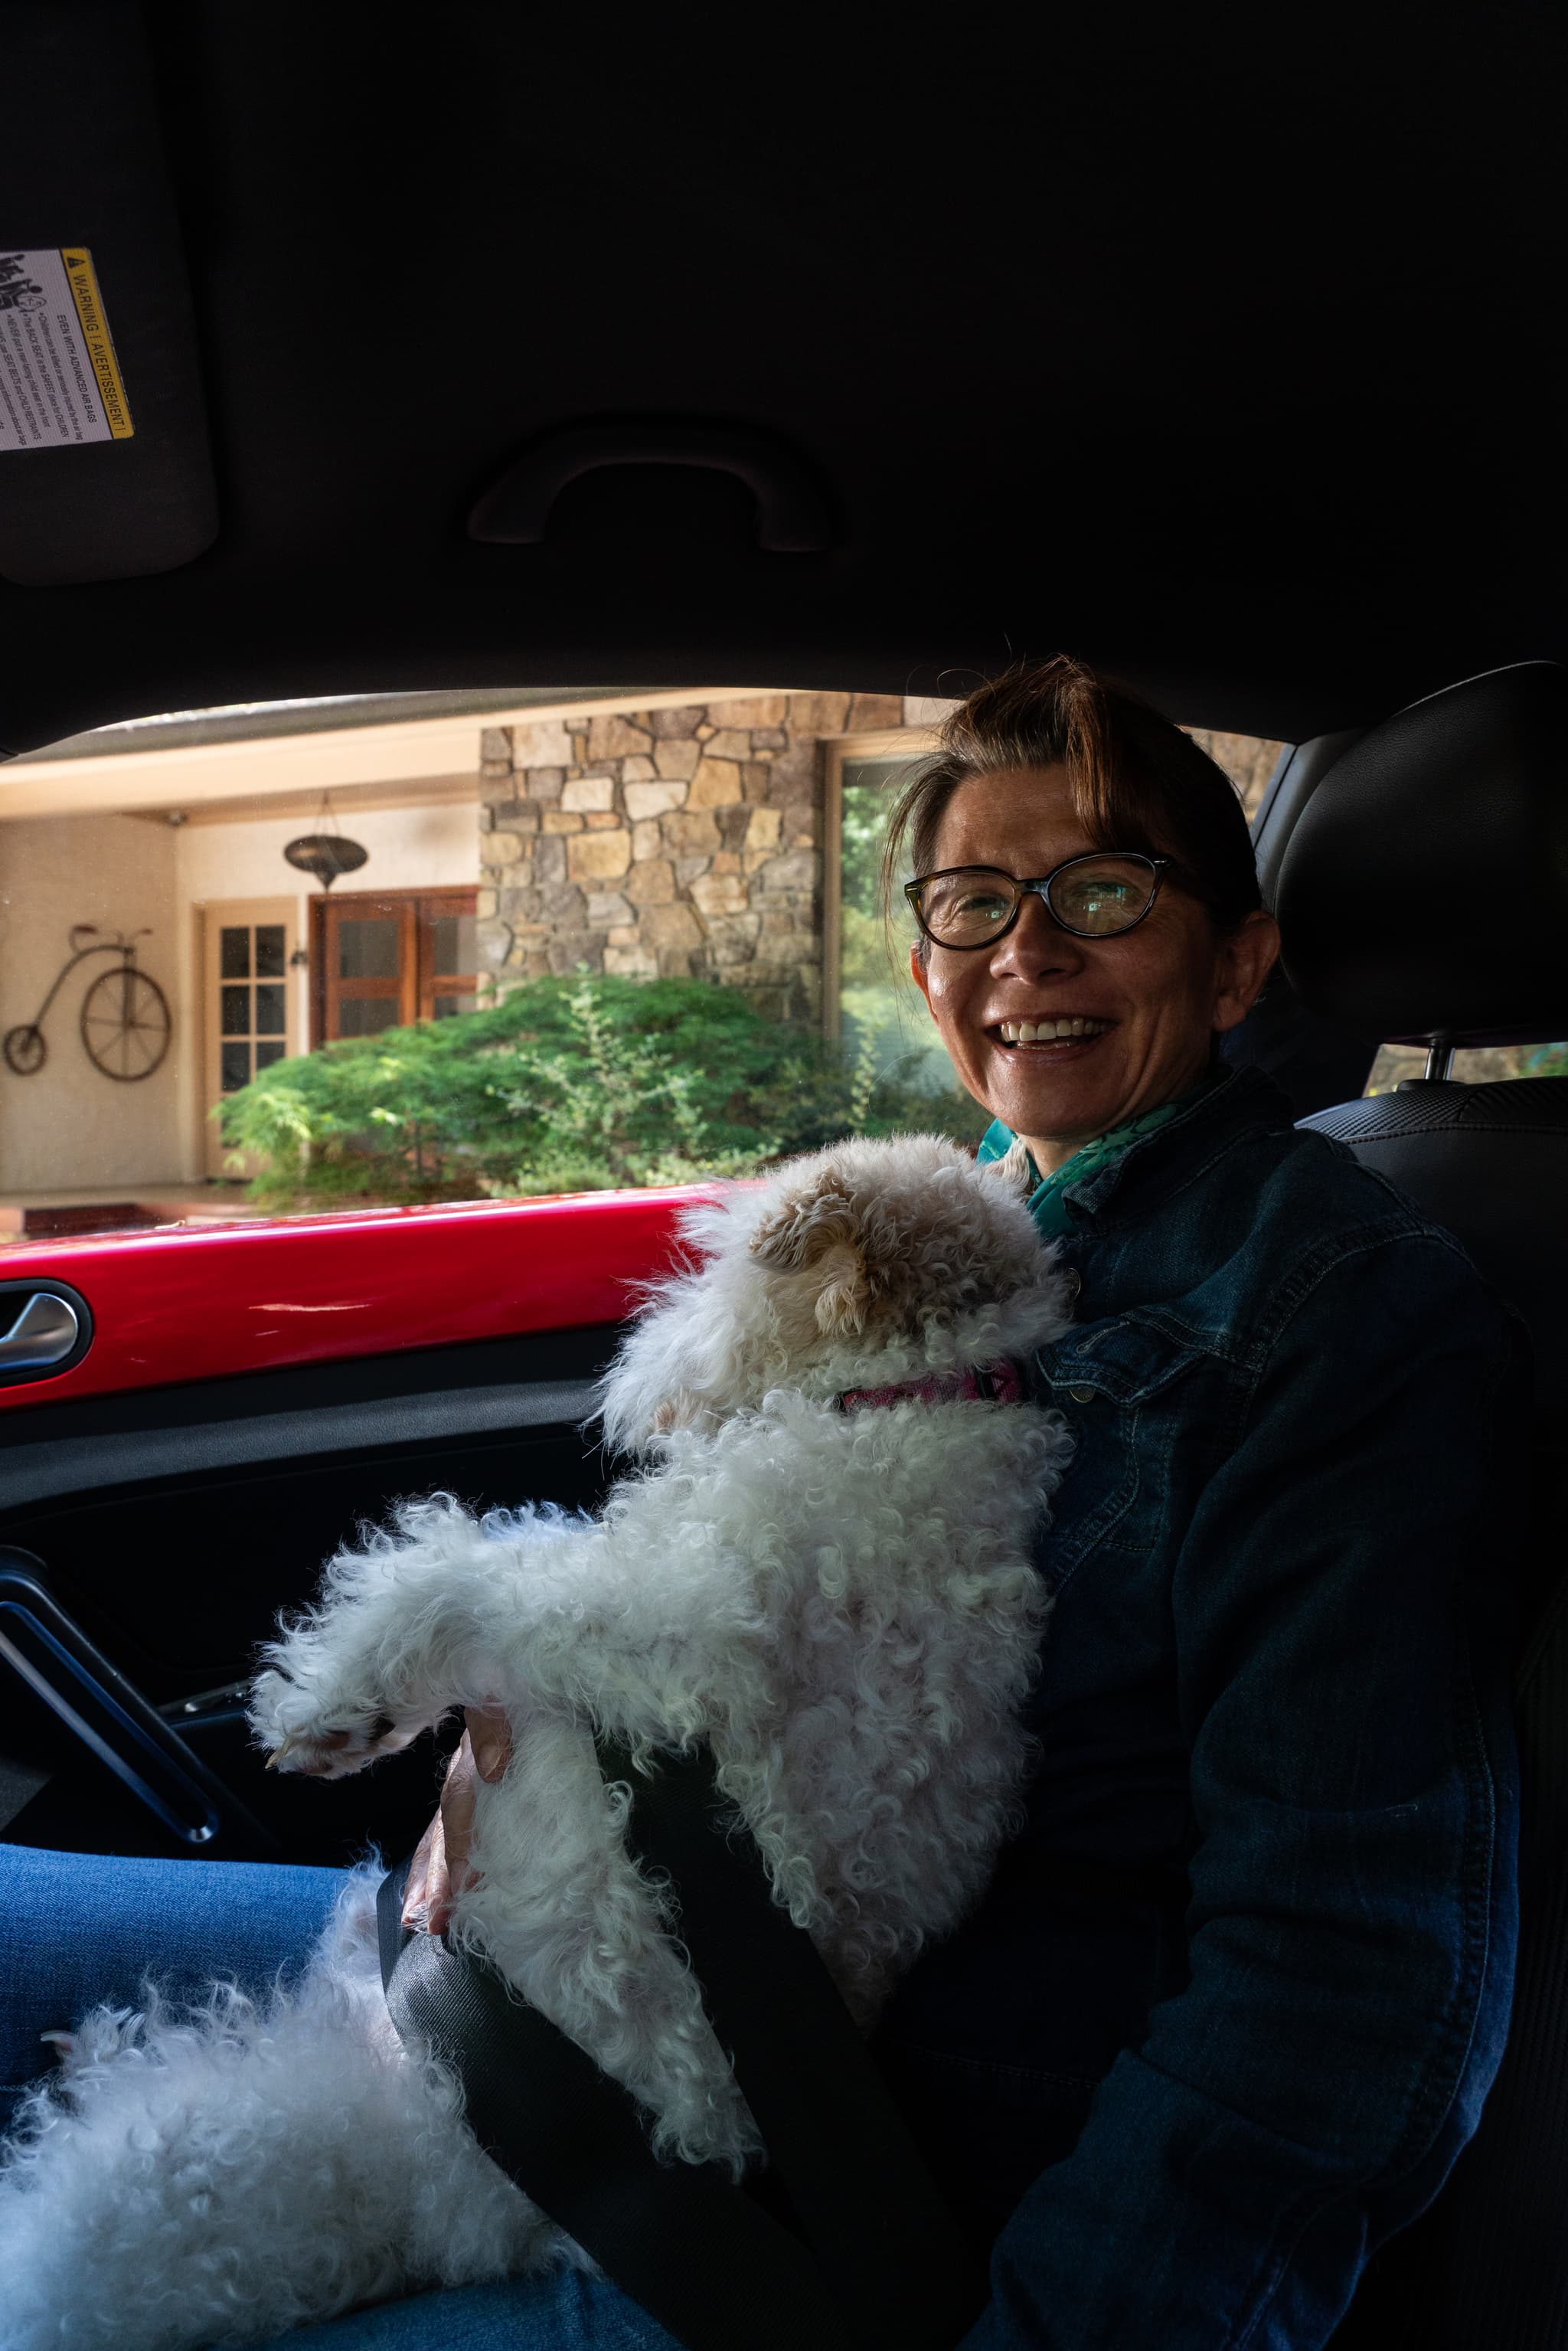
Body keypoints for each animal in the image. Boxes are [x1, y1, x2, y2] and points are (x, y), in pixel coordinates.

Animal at [0, 1128, 1072, 2341]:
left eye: (709, 1260)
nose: (626, 1372)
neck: (914, 1404)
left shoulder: (676, 1629)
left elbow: (457, 1570)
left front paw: (326, 1702)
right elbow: (493, 1550)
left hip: (183, 2160)